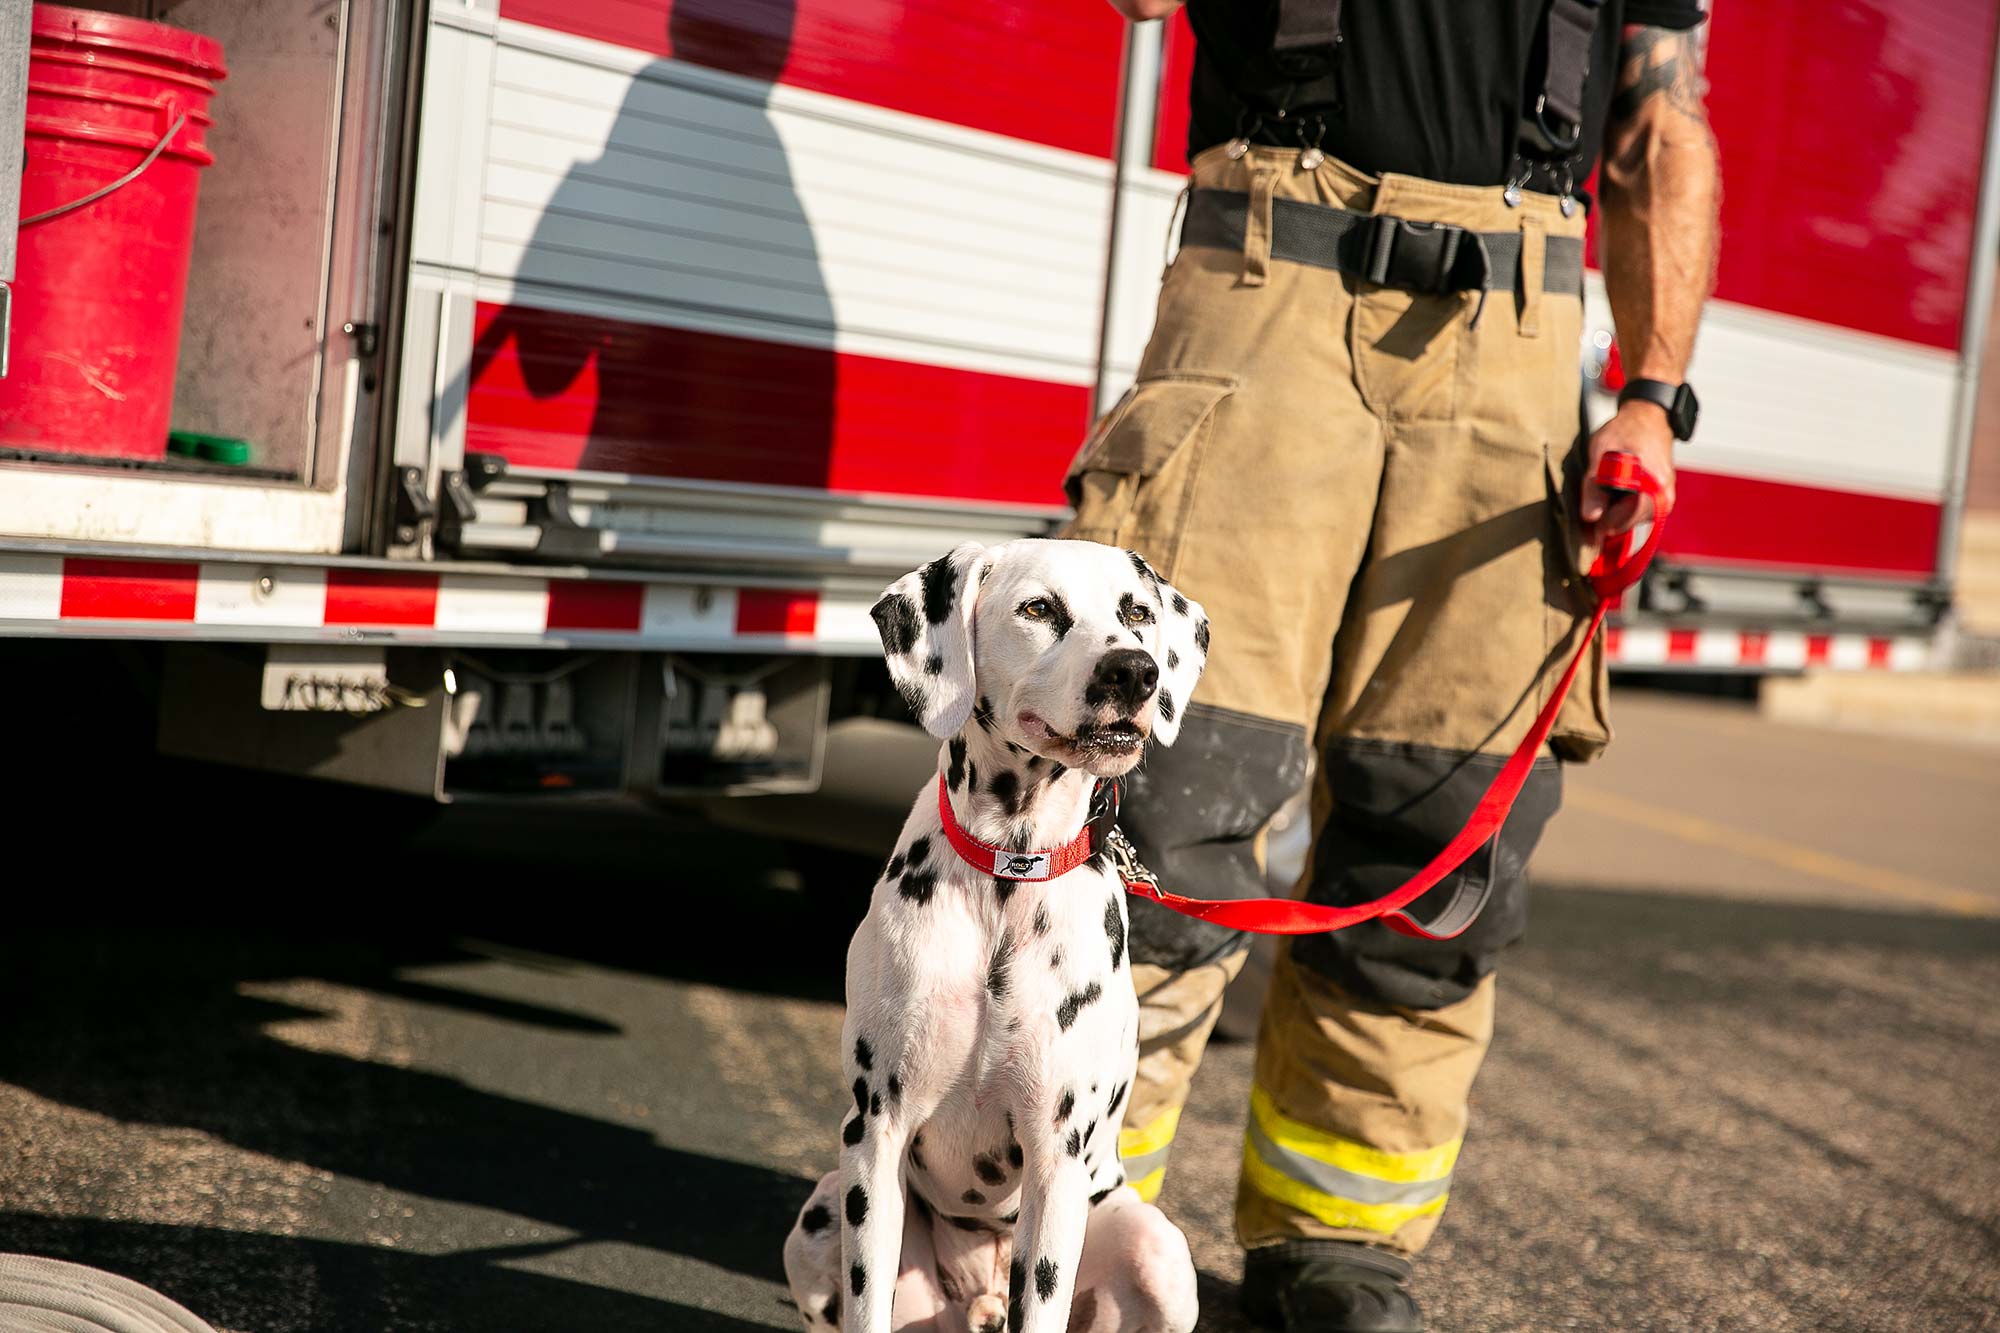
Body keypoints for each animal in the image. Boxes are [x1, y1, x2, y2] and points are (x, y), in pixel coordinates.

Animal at [784, 536, 1208, 1328]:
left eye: (1137, 613)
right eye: (1039, 608)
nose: (1133, 670)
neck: (1008, 877)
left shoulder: (1055, 1160)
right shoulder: (875, 1137)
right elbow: (866, 1301)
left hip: (1156, 1250)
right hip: (821, 1214)